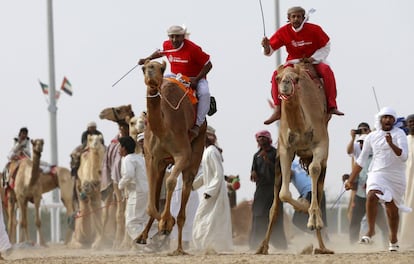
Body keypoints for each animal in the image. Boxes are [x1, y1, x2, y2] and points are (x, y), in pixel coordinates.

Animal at [137, 60, 206, 255]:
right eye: (143, 68)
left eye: (161, 68)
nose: (151, 72)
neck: (163, 127)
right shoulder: (151, 158)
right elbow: (151, 202)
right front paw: (162, 225)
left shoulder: (182, 154)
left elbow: (171, 182)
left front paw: (167, 222)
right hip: (162, 164)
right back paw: (144, 237)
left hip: (198, 145)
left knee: (186, 191)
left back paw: (179, 248)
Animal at [258, 60, 334, 255]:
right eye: (277, 78)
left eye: (297, 79)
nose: (285, 84)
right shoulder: (285, 149)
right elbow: (283, 194)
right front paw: (304, 208)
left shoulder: (321, 144)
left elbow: (314, 169)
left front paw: (311, 217)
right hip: (278, 166)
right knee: (275, 206)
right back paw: (262, 247)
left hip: (324, 162)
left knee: (319, 189)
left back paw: (322, 245)